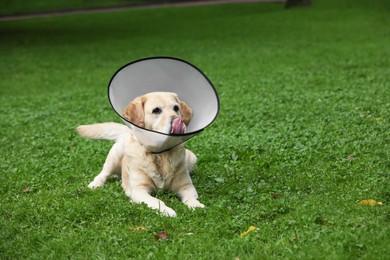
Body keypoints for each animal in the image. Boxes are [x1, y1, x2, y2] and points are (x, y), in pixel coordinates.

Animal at [76, 92, 204, 217]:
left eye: (176, 108)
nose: (177, 120)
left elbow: (191, 198)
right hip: (115, 156)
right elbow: (157, 201)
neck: (159, 155)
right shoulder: (139, 190)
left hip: (192, 158)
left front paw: (196, 206)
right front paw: (167, 211)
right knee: (103, 174)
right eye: (156, 110)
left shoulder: (186, 186)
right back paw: (95, 184)